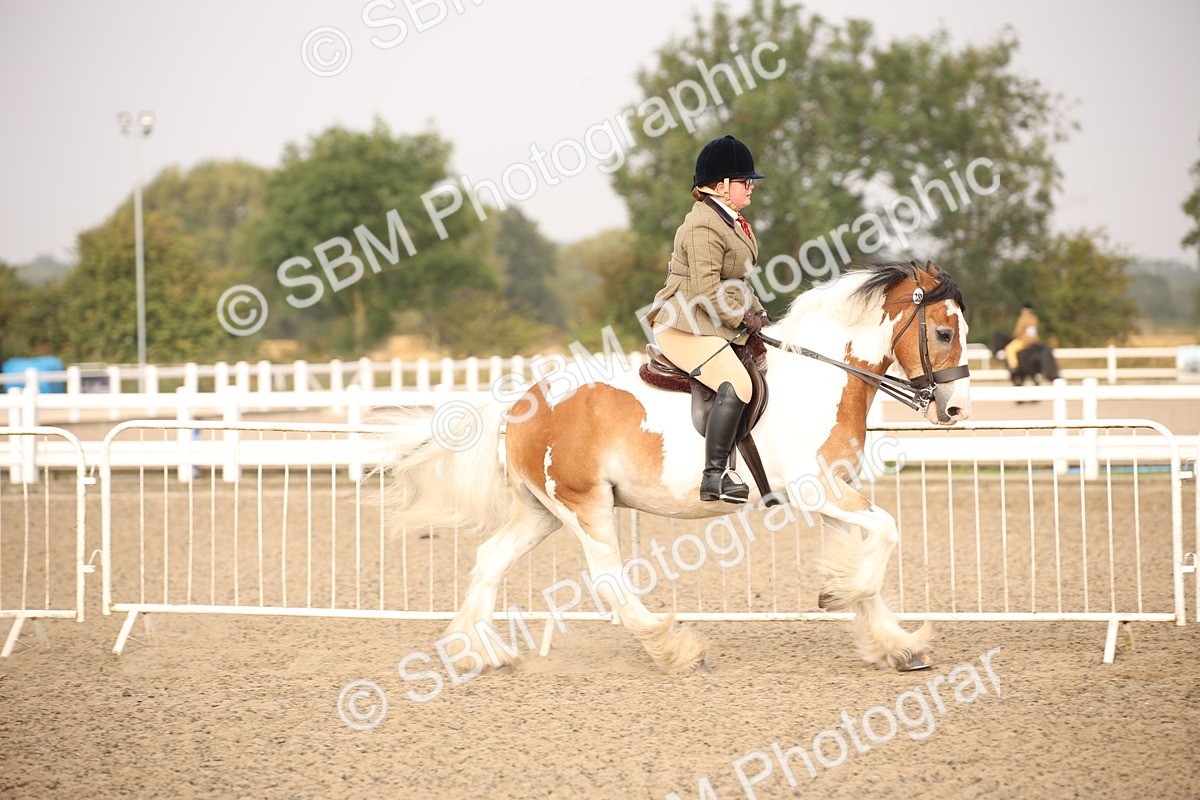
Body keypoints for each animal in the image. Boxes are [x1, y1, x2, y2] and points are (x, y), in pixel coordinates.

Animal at [374, 261, 972, 675]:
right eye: (944, 333)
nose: (955, 411)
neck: (820, 378)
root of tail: (519, 405)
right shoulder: (814, 491)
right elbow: (886, 533)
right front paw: (840, 598)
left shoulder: (834, 494)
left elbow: (866, 552)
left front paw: (894, 644)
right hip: (585, 505)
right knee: (608, 582)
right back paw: (676, 647)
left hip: (540, 512)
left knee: (489, 561)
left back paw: (476, 652)